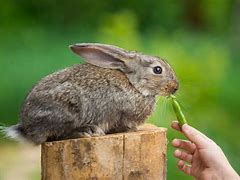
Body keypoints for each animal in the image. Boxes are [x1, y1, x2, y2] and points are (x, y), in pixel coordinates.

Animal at [3, 43, 178, 145]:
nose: (175, 87)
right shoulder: (120, 114)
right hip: (67, 110)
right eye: (157, 70)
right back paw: (86, 131)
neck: (134, 85)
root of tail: (27, 127)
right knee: (56, 135)